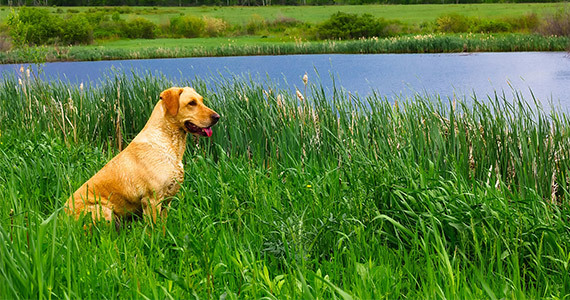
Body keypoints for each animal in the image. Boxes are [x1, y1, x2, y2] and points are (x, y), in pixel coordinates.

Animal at [65, 85, 220, 224]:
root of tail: (62, 216)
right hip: (103, 210)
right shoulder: (152, 200)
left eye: (201, 101)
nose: (217, 117)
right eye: (191, 103)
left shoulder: (167, 201)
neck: (169, 144)